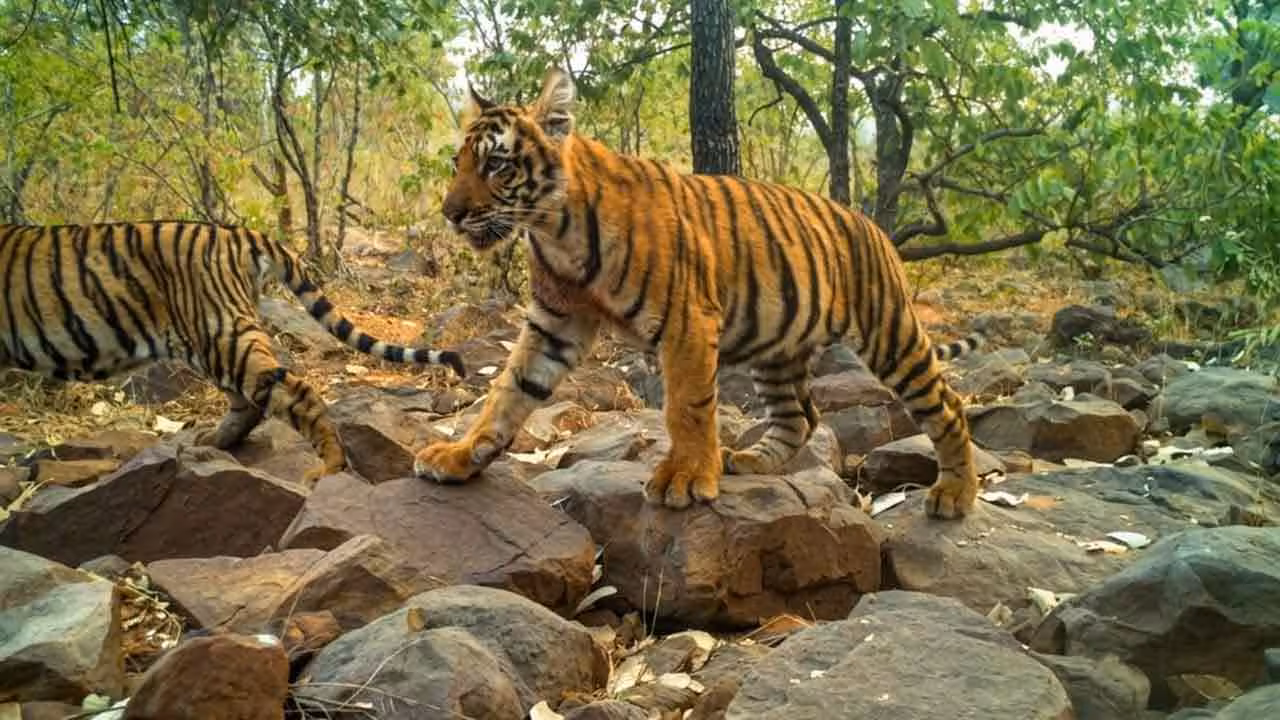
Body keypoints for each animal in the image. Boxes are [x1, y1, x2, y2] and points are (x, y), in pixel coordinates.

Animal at [0, 221, 465, 483]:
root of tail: (234, 231)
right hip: (217, 338)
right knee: (253, 400)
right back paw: (214, 441)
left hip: (216, 333)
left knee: (291, 391)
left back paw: (329, 468)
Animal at [412, 67, 984, 519]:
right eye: (458, 164)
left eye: (496, 165)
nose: (450, 213)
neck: (554, 231)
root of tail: (873, 227)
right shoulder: (553, 323)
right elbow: (506, 393)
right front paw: (460, 455)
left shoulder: (686, 321)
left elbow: (686, 406)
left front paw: (685, 479)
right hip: (778, 347)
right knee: (800, 417)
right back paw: (748, 461)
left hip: (890, 334)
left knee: (948, 406)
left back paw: (955, 495)